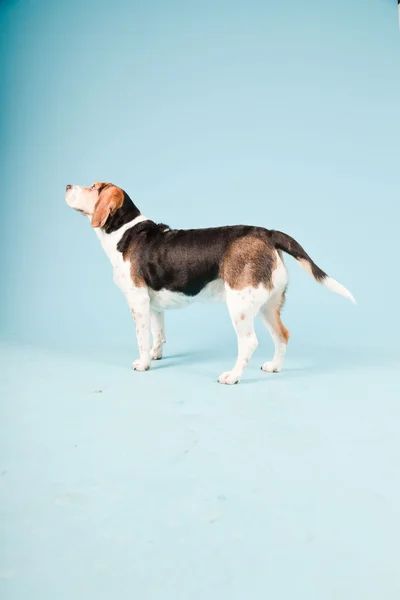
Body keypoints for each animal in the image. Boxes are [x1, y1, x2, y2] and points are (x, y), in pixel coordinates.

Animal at [65, 180, 356, 384]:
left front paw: (143, 363)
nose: (67, 186)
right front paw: (157, 354)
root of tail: (267, 233)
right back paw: (274, 367)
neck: (126, 231)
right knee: (282, 335)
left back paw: (232, 376)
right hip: (268, 304)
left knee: (249, 342)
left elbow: (141, 338)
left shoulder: (137, 301)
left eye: (94, 187)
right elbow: (158, 334)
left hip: (239, 304)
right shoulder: (153, 304)